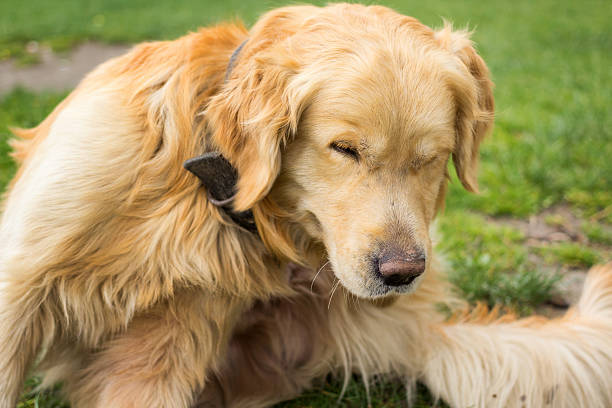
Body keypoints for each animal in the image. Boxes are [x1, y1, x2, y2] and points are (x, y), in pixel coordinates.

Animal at [1, 3, 612, 408]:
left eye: (432, 158)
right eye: (344, 149)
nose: (402, 273)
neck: (203, 183)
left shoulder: (163, 348)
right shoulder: (21, 282)